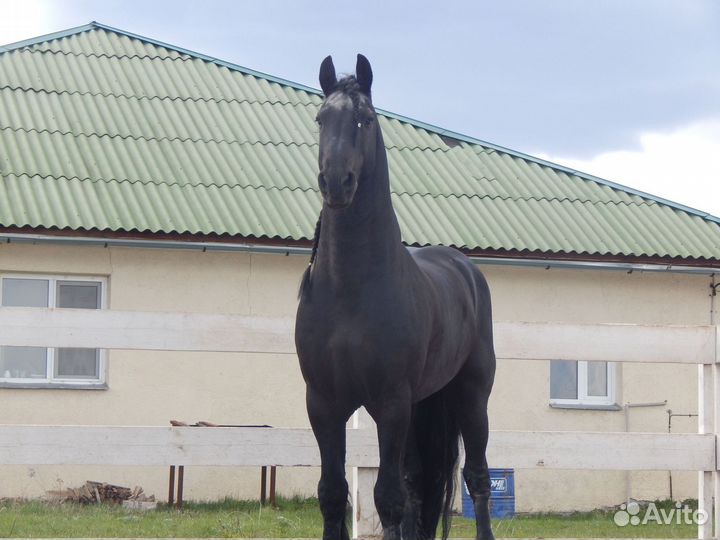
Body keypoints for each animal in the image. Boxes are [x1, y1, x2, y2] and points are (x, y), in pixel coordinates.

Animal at [295, 54, 496, 540]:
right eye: (321, 118)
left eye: (365, 119)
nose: (336, 182)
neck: (351, 290)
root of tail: (465, 268)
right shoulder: (323, 403)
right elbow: (333, 493)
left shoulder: (389, 402)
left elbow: (387, 498)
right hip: (422, 405)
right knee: (420, 486)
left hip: (471, 398)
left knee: (477, 477)